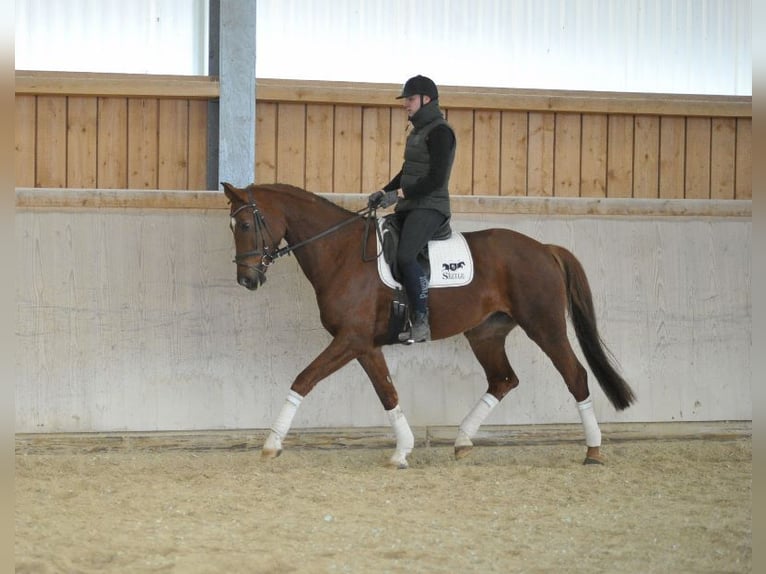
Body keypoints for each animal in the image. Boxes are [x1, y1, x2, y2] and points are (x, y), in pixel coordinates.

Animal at [222, 182, 636, 470]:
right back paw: (463, 441)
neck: (342, 254)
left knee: (575, 375)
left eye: (244, 224)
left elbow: (303, 379)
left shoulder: (351, 340)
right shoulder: (364, 345)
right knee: (503, 380)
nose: (247, 280)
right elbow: (387, 393)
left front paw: (271, 444)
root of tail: (545, 248)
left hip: (544, 326)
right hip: (486, 333)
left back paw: (593, 450)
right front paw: (401, 452)